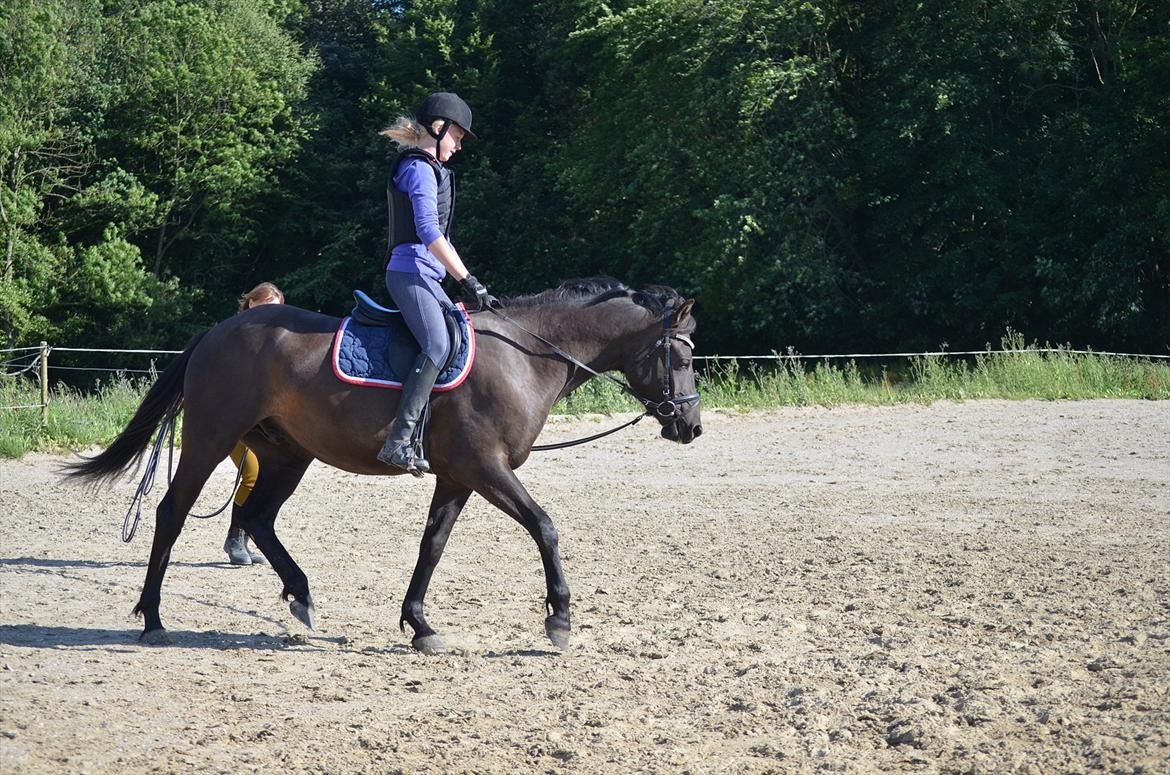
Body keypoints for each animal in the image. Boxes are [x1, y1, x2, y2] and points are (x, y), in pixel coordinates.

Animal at [64, 279, 697, 655]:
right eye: (683, 355)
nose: (690, 426)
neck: (525, 356)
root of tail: (217, 332)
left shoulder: (457, 475)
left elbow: (432, 545)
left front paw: (420, 624)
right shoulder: (486, 467)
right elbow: (545, 527)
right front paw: (559, 620)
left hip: (286, 454)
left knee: (260, 518)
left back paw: (301, 596)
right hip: (211, 439)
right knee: (173, 512)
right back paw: (152, 618)